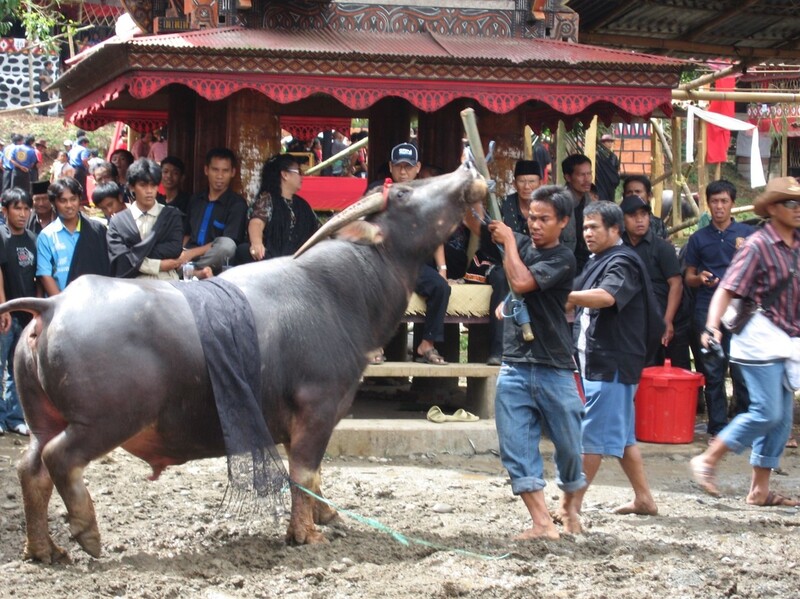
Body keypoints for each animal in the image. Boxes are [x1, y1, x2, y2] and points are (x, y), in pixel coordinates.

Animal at [4, 164, 488, 564]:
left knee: (31, 469)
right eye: (404, 192)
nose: (468, 172)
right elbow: (304, 471)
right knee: (60, 458)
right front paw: (305, 533)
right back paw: (86, 533)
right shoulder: (318, 407)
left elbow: (314, 474)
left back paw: (43, 549)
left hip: (45, 418)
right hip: (106, 420)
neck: (340, 291)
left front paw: (327, 515)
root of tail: (52, 305)